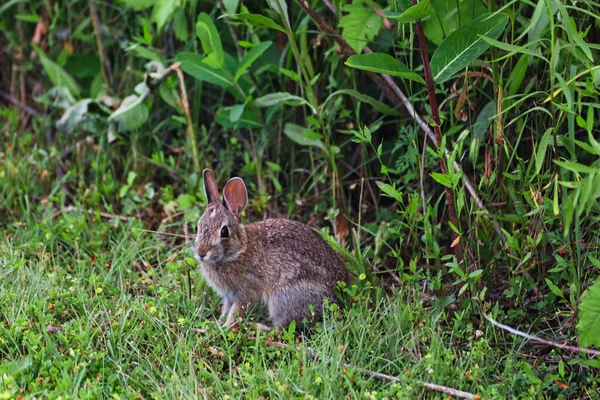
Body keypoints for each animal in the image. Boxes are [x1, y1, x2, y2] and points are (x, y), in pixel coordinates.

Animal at [192, 170, 352, 330]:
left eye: (224, 232)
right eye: (197, 227)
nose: (201, 253)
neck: (237, 251)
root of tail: (338, 295)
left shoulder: (244, 293)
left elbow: (236, 312)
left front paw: (225, 327)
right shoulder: (229, 296)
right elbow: (226, 309)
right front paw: (217, 323)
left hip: (283, 299)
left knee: (281, 328)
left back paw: (259, 328)